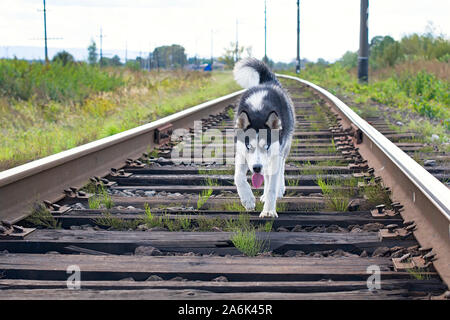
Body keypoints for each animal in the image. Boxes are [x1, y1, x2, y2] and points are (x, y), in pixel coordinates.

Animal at [232, 58, 296, 218]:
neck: (258, 111)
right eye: (249, 146)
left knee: (280, 168)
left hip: (283, 148)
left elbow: (272, 186)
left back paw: (278, 189)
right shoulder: (241, 153)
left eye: (266, 146)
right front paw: (248, 200)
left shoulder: (274, 154)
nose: (256, 168)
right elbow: (238, 177)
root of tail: (267, 82)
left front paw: (268, 211)